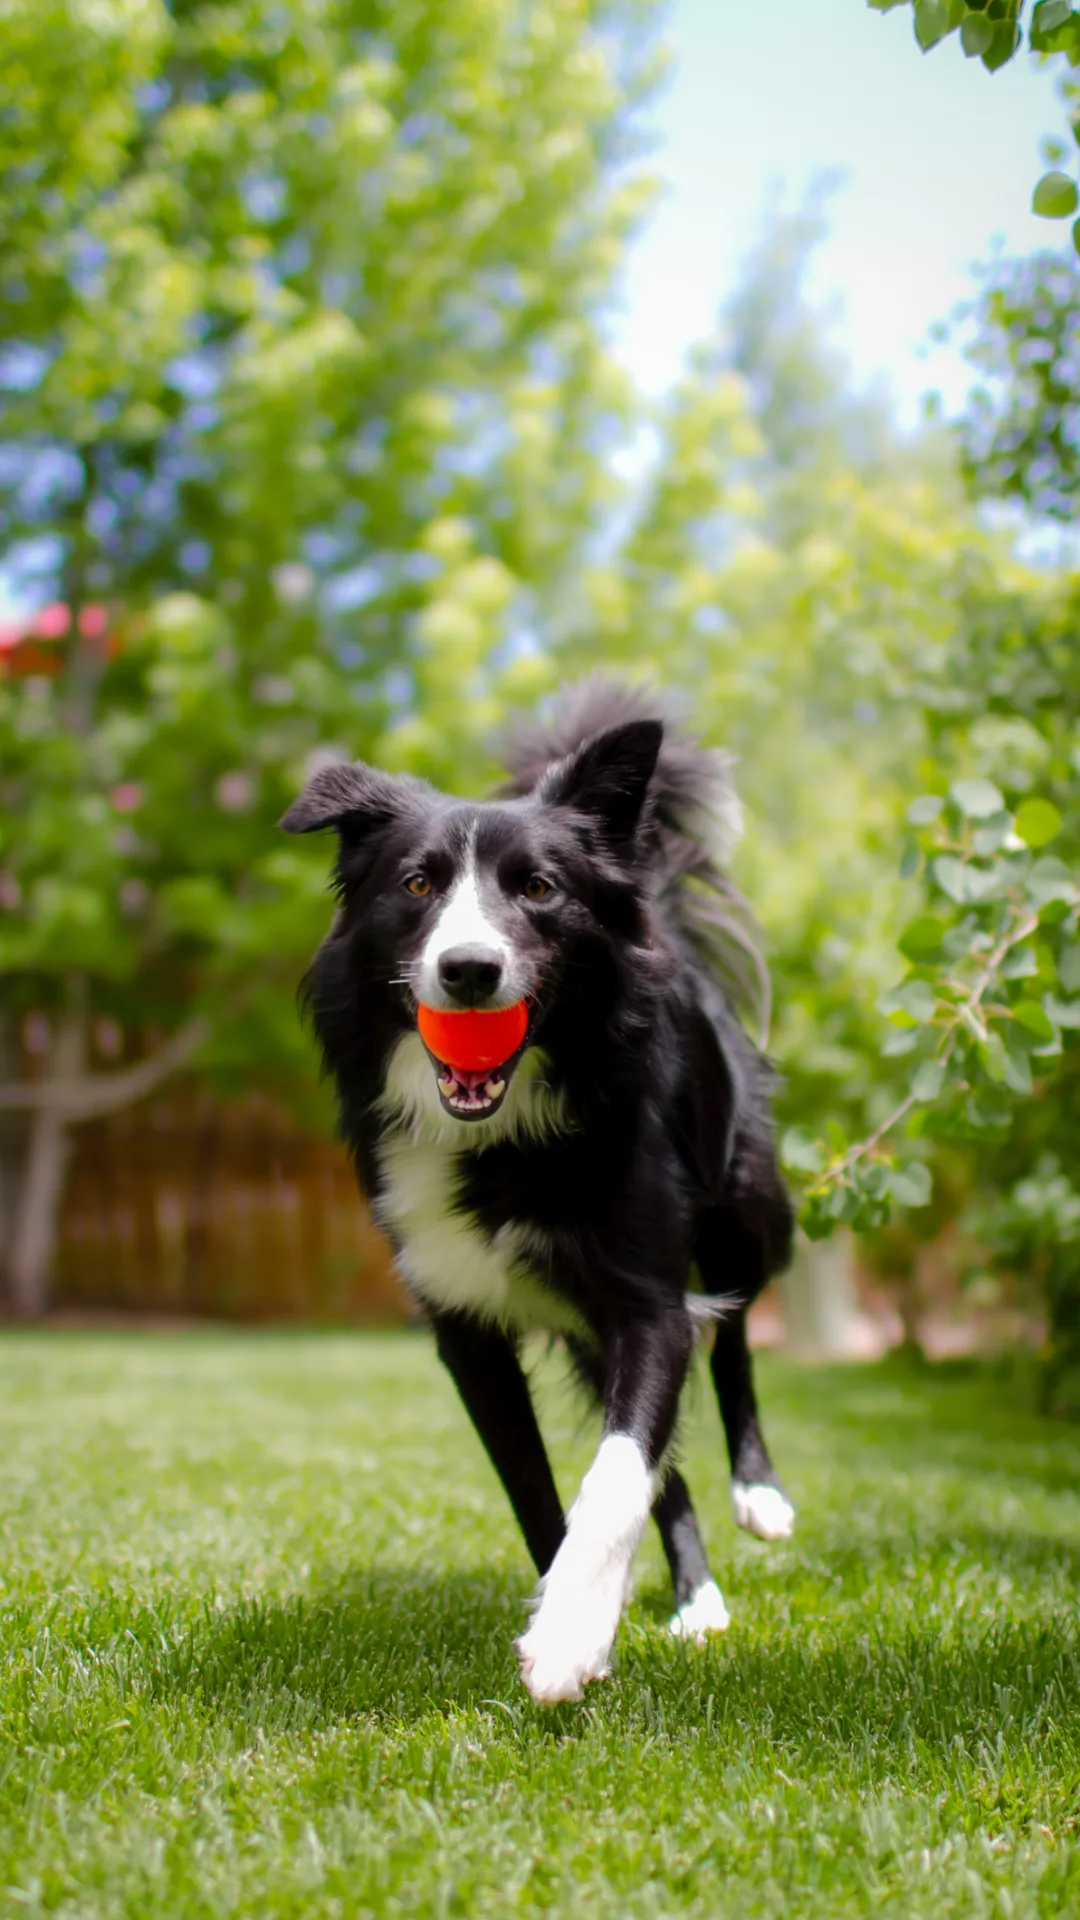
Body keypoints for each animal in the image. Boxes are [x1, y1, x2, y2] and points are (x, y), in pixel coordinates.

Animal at [282, 683, 795, 1704]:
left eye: (539, 888)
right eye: (416, 886)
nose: (469, 969)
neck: (500, 1134)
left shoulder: (646, 1304)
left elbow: (617, 1471)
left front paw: (566, 1638)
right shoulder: (465, 1329)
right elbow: (541, 1486)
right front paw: (577, 1613)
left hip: (743, 1208)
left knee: (732, 1337)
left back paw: (755, 1501)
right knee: (668, 1457)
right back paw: (691, 1598)